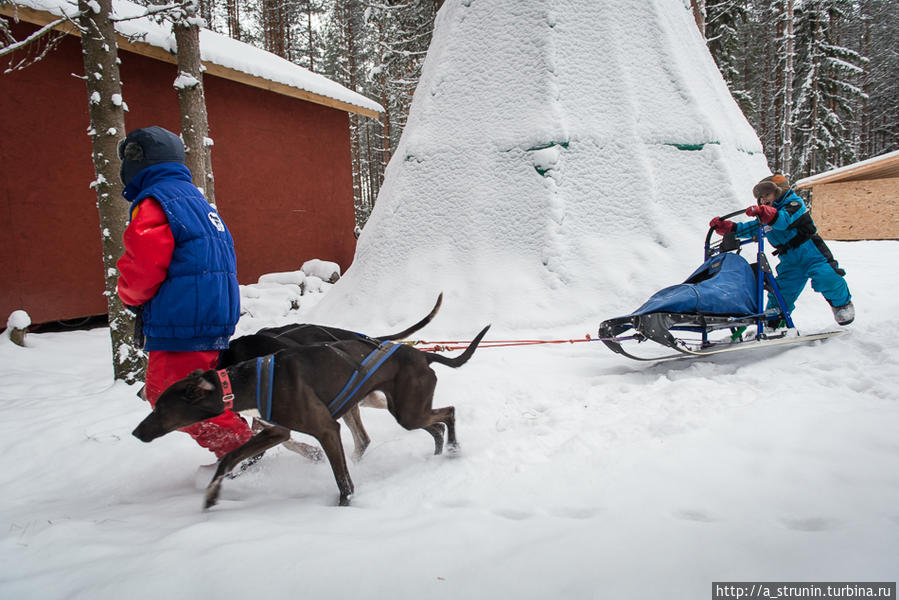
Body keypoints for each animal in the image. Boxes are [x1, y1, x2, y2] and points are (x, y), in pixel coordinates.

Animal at [130, 326, 488, 508]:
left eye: (160, 407)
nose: (136, 433)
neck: (248, 382)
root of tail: (422, 355)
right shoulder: (275, 432)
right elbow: (230, 457)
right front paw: (212, 493)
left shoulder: (326, 428)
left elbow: (342, 478)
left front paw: (345, 504)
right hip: (406, 410)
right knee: (437, 424)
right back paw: (442, 450)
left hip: (408, 410)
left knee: (448, 413)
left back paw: (453, 449)